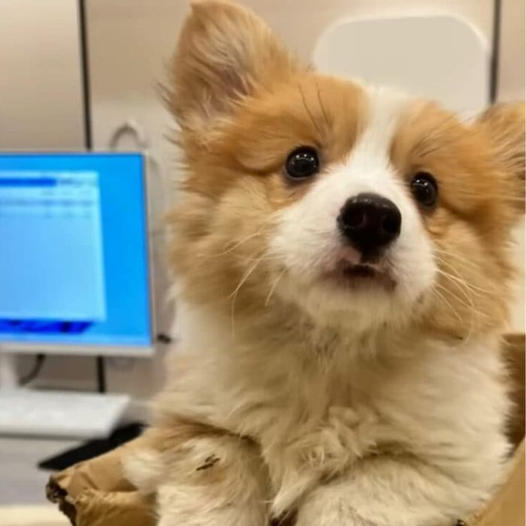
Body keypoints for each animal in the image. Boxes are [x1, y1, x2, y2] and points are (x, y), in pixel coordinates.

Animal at [125, 2, 526, 524]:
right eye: (301, 162)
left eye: (426, 189)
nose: (372, 216)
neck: (329, 351)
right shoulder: (190, 423)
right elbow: (218, 466)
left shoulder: (446, 465)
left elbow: (362, 488)